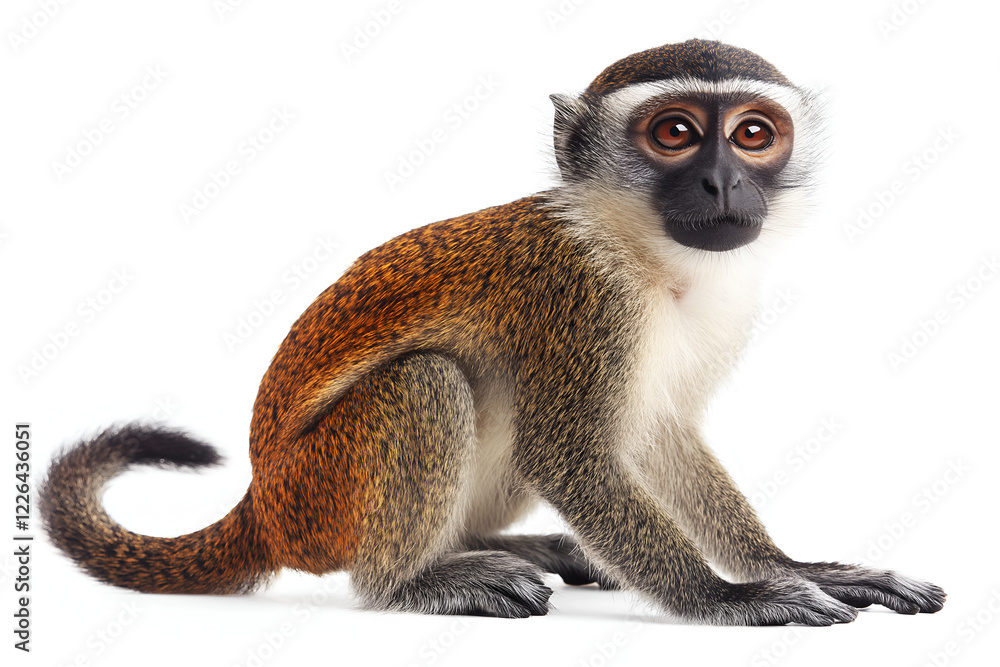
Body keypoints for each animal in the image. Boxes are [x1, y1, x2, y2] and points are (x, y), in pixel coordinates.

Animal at [40, 39, 946, 626]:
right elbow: (569, 451)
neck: (638, 252)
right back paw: (406, 582)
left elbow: (657, 434)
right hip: (319, 494)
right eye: (677, 133)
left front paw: (791, 566)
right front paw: (730, 596)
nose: (724, 182)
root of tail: (264, 505)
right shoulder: (578, 295)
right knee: (428, 379)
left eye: (753, 133)